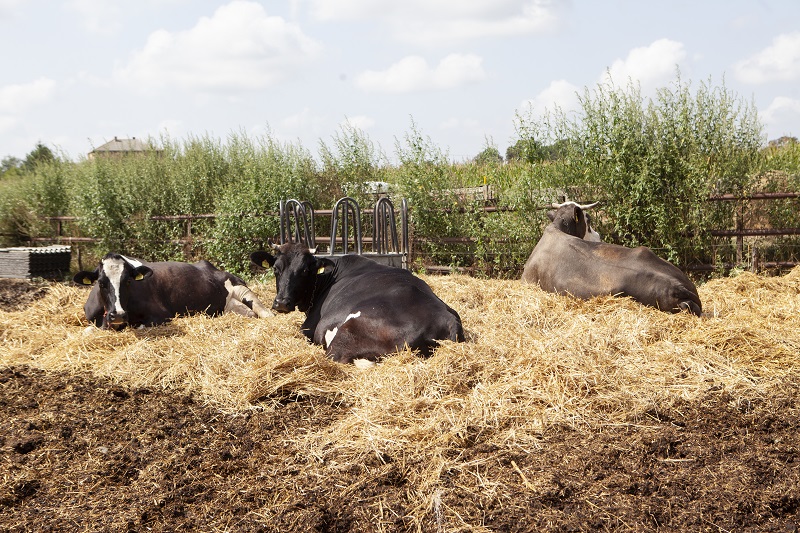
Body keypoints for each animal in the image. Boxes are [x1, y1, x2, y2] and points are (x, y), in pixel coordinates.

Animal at [73, 250, 272, 328]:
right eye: (101, 283)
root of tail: (213, 268)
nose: (119, 315)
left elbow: (141, 326)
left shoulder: (162, 315)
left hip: (240, 288)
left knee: (261, 309)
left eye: (128, 281)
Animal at [248, 243, 462, 364]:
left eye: (305, 270)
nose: (282, 302)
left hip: (347, 333)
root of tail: (446, 317)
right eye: (276, 269)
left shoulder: (308, 329)